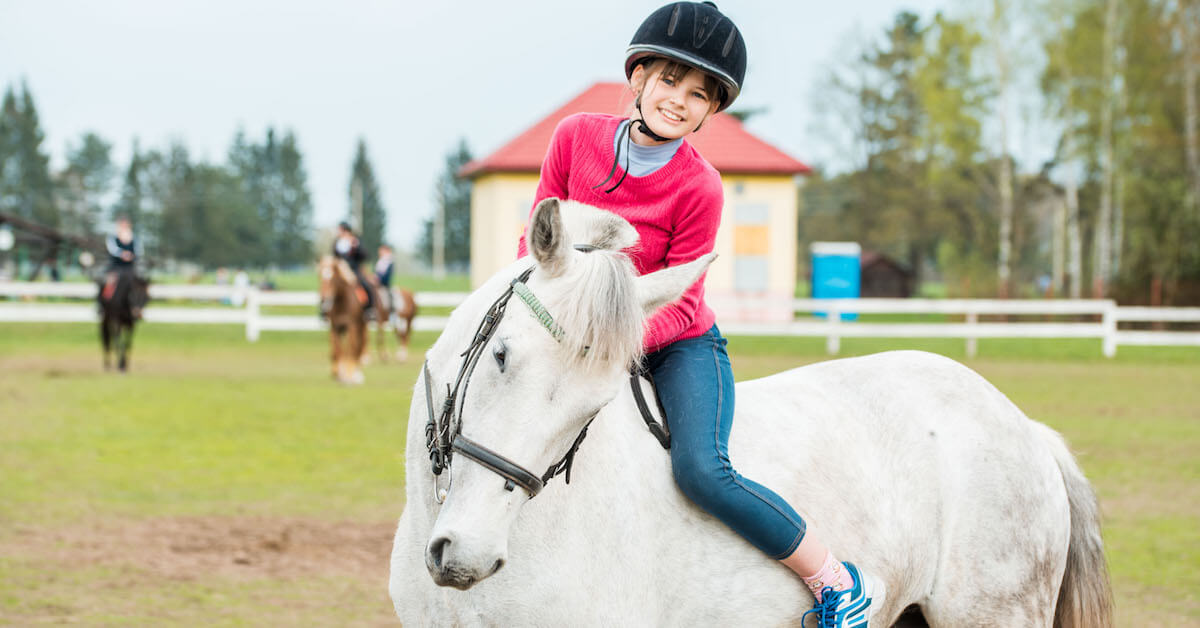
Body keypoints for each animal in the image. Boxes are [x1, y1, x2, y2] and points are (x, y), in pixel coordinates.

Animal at [316, 254, 367, 384]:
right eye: (319, 276)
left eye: (333, 278)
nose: (324, 299)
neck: (342, 301)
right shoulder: (335, 327)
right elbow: (337, 351)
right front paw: (338, 374)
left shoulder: (351, 326)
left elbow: (351, 350)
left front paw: (349, 376)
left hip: (361, 326)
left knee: (358, 347)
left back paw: (356, 374)